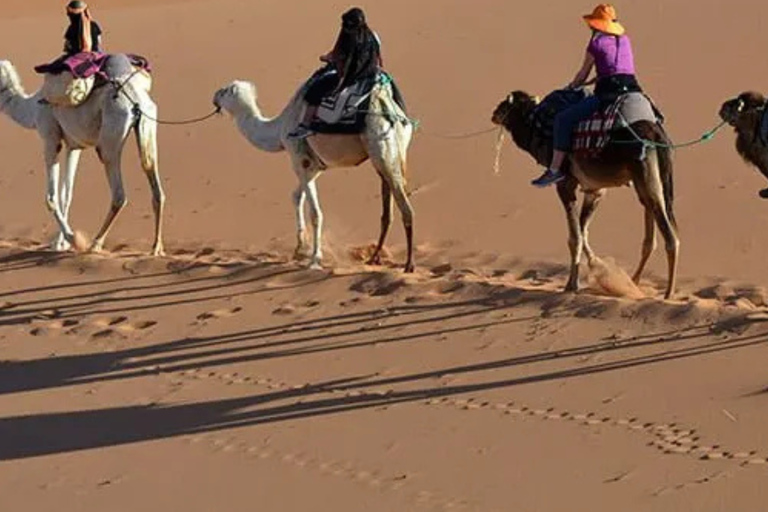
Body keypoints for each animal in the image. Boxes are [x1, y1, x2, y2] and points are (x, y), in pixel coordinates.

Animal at [0, 58, 165, 255]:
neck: (31, 109)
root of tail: (135, 101)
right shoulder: (73, 146)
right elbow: (67, 195)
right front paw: (60, 244)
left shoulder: (49, 137)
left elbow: (51, 198)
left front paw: (73, 239)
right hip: (149, 124)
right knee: (155, 183)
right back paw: (156, 248)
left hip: (111, 136)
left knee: (118, 194)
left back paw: (95, 244)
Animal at [212, 76, 415, 271]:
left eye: (225, 91)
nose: (214, 95)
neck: (280, 129)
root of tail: (388, 107)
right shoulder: (315, 166)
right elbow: (296, 196)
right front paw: (299, 249)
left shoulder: (299, 159)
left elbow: (315, 213)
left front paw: (314, 260)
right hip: (393, 153)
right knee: (387, 211)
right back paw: (374, 258)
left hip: (381, 148)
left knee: (405, 206)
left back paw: (408, 265)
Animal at [491, 90, 679, 299]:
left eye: (505, 104)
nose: (494, 114)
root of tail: (658, 135)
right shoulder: (594, 190)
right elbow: (583, 230)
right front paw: (598, 266)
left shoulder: (565, 183)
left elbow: (575, 237)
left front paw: (571, 285)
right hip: (649, 181)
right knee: (650, 231)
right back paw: (634, 282)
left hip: (645, 172)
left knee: (670, 236)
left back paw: (668, 294)